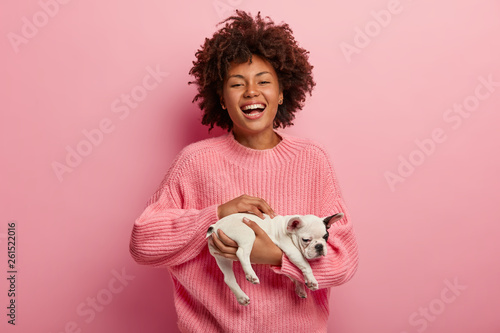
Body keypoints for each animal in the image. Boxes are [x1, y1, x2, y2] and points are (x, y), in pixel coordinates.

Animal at [205, 213, 342, 304]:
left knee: (228, 278)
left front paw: (300, 287)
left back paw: (241, 297)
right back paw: (251, 275)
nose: (319, 246)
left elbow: (291, 274)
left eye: (326, 237)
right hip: (246, 235)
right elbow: (305, 265)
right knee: (242, 253)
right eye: (306, 240)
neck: (290, 231)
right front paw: (312, 280)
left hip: (221, 257)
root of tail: (216, 225)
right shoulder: (292, 250)